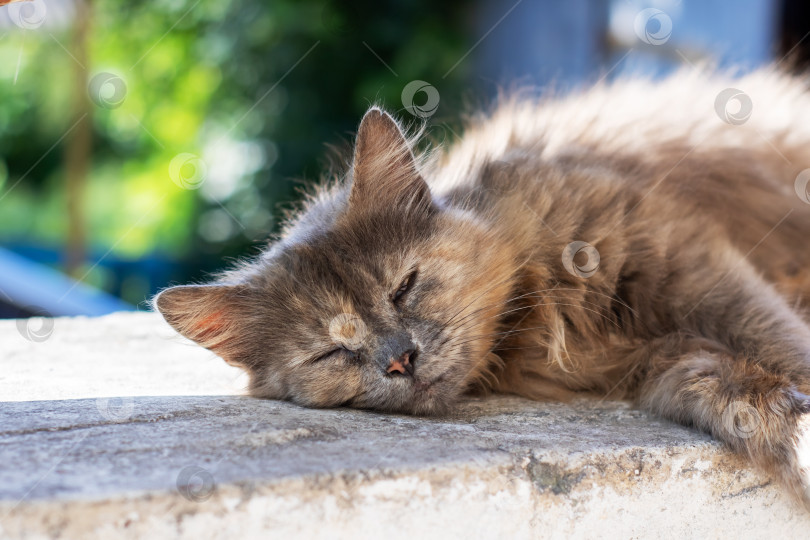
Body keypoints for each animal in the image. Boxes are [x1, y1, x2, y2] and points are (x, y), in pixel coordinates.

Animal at [155, 68, 808, 506]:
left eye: (405, 287)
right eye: (331, 351)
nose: (401, 359)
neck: (534, 322)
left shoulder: (686, 259)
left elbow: (780, 343)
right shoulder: (669, 362)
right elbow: (745, 401)